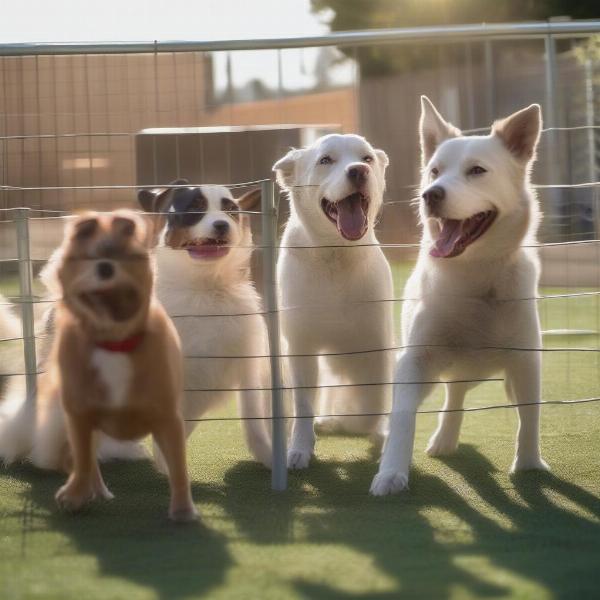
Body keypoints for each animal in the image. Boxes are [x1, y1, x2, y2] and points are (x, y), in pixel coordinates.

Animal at [47, 210, 197, 520]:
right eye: (87, 258)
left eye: (124, 257)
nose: (105, 267)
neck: (114, 343)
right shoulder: (79, 417)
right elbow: (83, 461)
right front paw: (75, 494)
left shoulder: (168, 420)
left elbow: (178, 467)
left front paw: (182, 510)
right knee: (87, 460)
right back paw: (96, 491)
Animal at [138, 180, 272, 472]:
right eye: (194, 209)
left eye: (231, 211)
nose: (221, 225)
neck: (204, 288)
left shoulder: (248, 365)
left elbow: (254, 418)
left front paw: (270, 456)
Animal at [274, 132, 396, 468]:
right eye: (325, 160)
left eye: (367, 158)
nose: (359, 171)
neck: (335, 255)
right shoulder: (301, 347)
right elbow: (303, 406)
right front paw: (299, 449)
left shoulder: (378, 345)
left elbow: (376, 403)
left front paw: (381, 436)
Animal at [372, 96, 552, 494]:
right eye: (434, 171)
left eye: (477, 171)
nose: (431, 194)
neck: (476, 283)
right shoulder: (415, 361)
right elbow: (404, 416)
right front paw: (391, 472)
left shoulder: (526, 361)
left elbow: (530, 417)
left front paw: (529, 465)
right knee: (452, 397)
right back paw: (443, 439)